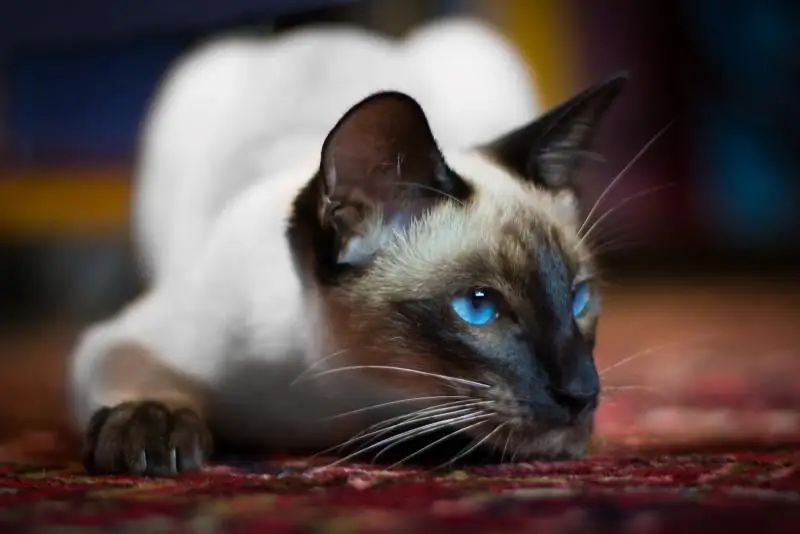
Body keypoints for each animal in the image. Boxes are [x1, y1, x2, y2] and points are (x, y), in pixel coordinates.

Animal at [67, 17, 624, 478]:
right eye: (479, 306)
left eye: (580, 299)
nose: (583, 393)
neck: (342, 404)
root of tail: (326, 29)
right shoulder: (118, 340)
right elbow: (134, 374)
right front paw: (152, 435)